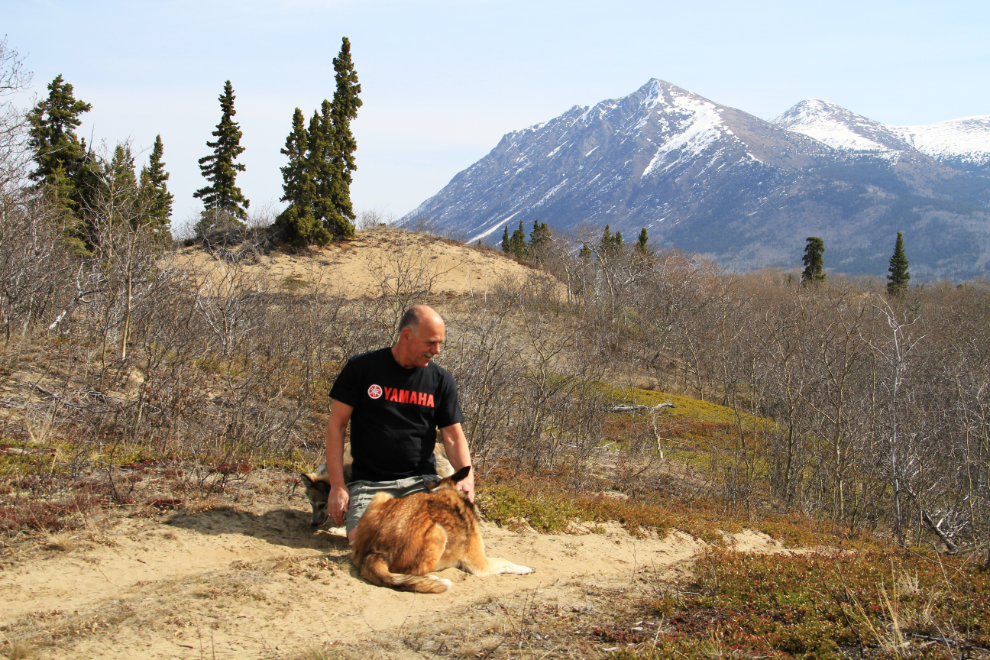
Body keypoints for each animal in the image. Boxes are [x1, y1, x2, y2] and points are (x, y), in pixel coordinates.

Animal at [350, 464, 536, 592]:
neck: (446, 488)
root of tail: (377, 551)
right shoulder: (479, 563)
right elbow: (505, 561)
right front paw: (524, 568)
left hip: (380, 496)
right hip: (439, 534)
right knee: (412, 571)